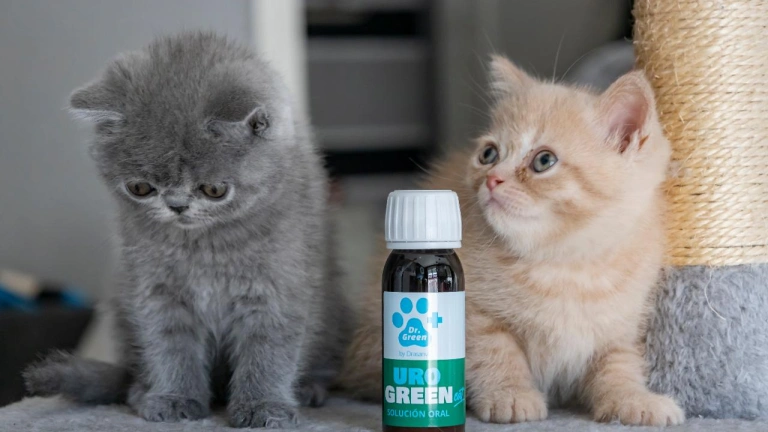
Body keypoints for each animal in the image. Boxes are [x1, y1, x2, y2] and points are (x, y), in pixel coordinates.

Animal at [24, 31, 349, 429]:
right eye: (141, 188)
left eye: (214, 190)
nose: (177, 205)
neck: (206, 248)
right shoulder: (156, 289)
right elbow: (169, 343)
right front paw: (175, 398)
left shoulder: (277, 287)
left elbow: (268, 350)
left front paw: (262, 406)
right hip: (120, 310)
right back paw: (140, 391)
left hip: (335, 312)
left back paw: (308, 390)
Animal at [339, 55, 685, 426]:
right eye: (488, 154)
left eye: (544, 160)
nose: (492, 179)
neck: (564, 264)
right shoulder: (475, 312)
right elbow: (495, 351)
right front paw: (511, 395)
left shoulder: (621, 326)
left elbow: (618, 364)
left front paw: (633, 399)